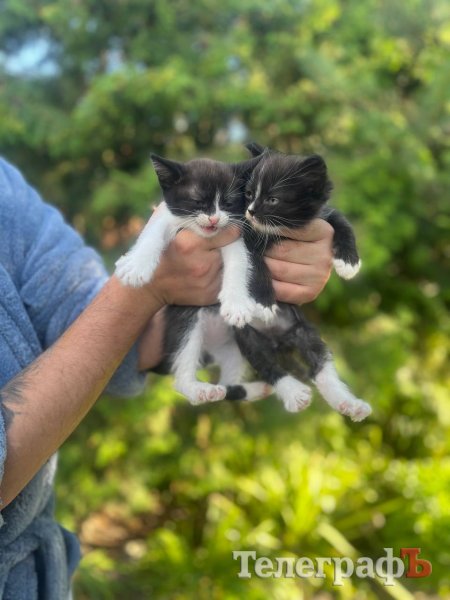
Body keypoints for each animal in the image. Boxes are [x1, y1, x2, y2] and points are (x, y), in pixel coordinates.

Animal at [229, 142, 371, 420]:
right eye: (249, 194)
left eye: (272, 199)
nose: (251, 211)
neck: (281, 230)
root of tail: (278, 342)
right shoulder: (244, 237)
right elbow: (256, 265)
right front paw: (264, 302)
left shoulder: (322, 215)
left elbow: (342, 222)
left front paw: (349, 263)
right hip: (249, 338)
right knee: (269, 367)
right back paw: (294, 394)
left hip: (303, 332)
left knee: (321, 366)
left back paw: (348, 403)